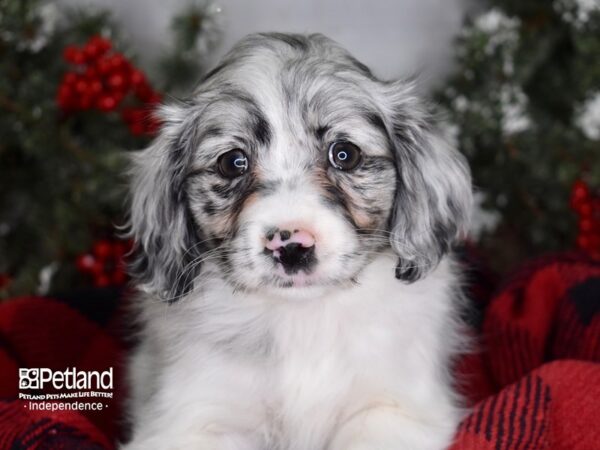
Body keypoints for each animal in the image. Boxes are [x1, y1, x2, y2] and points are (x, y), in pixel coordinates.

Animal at [124, 32, 474, 450]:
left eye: (345, 154)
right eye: (232, 162)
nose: (291, 246)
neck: (303, 320)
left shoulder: (394, 409)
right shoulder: (193, 420)